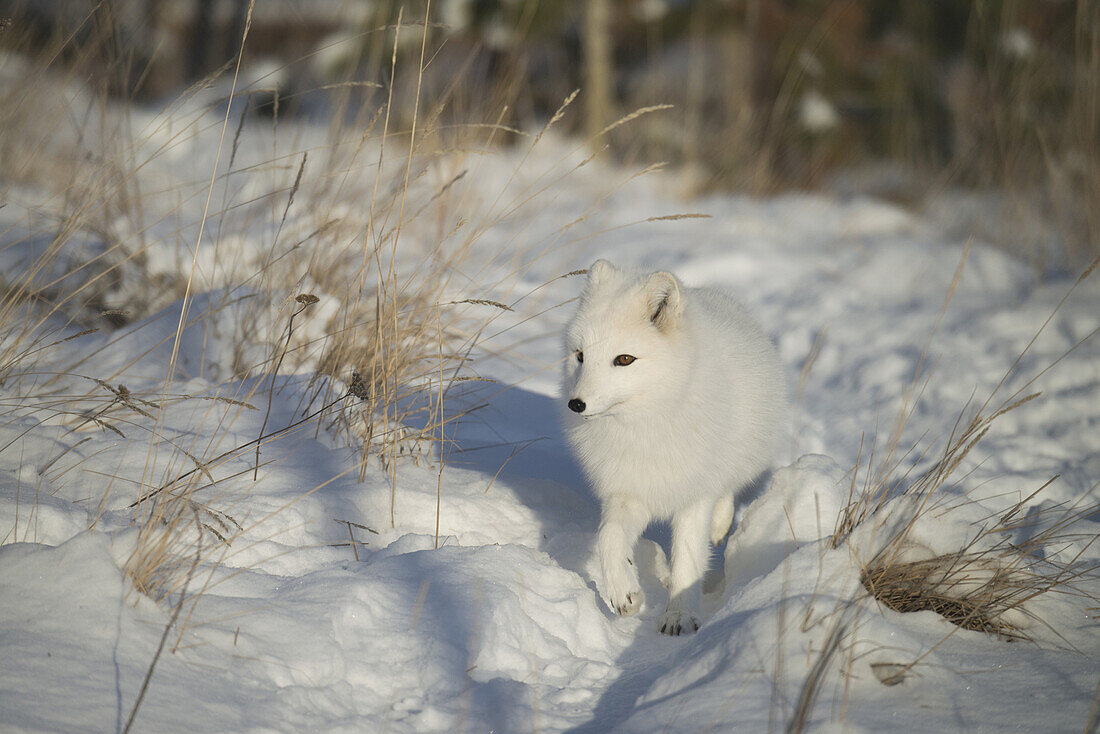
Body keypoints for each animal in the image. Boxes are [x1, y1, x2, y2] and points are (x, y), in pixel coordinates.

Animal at [563, 260, 787, 633]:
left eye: (624, 359)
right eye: (580, 355)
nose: (575, 404)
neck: (646, 426)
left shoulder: (695, 496)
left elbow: (687, 559)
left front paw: (679, 616)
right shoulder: (629, 492)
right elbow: (609, 538)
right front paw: (624, 594)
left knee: (728, 491)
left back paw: (719, 527)